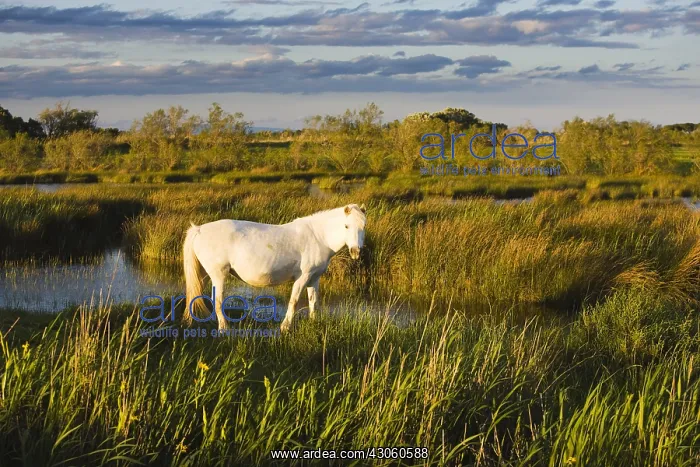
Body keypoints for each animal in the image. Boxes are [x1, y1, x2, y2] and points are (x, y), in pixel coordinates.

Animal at [183, 204, 367, 333]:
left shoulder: (314, 278)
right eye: (346, 226)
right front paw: (285, 328)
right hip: (218, 274)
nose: (356, 252)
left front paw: (314, 323)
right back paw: (224, 329)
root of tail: (199, 229)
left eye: (363, 226)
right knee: (218, 300)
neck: (318, 237)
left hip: (205, 275)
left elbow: (313, 301)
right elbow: (293, 301)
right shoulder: (302, 277)